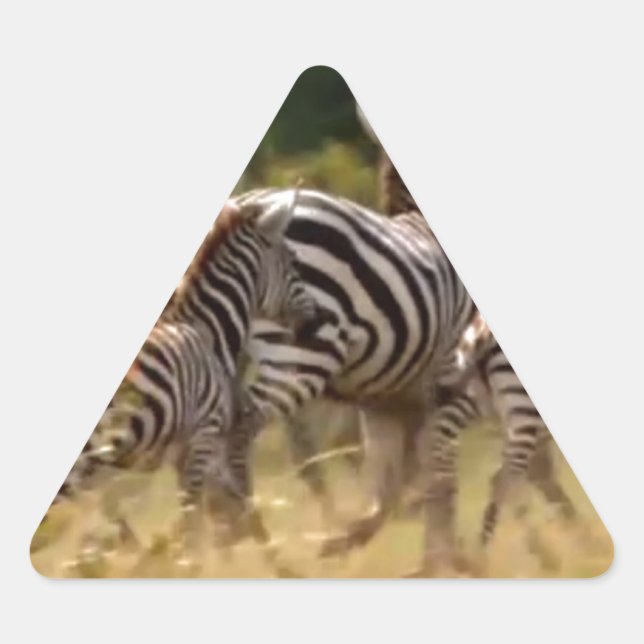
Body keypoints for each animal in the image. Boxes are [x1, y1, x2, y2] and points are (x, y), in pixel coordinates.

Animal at [34, 192, 329, 565]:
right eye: (292, 260)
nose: (315, 321)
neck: (207, 331)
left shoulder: (186, 450)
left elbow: (223, 513)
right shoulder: (204, 435)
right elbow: (196, 523)